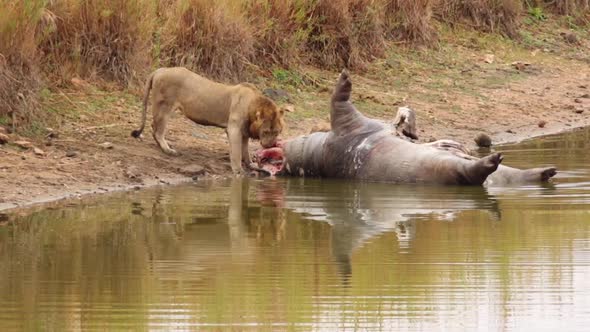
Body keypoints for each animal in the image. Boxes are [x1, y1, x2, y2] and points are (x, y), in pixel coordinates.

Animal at [132, 68, 294, 175]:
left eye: (277, 132)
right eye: (266, 132)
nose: (270, 145)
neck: (253, 105)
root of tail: (160, 69)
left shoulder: (244, 131)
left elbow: (245, 150)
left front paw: (251, 165)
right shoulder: (233, 129)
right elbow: (236, 152)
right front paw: (238, 171)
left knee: (154, 128)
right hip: (164, 106)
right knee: (157, 129)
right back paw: (168, 150)